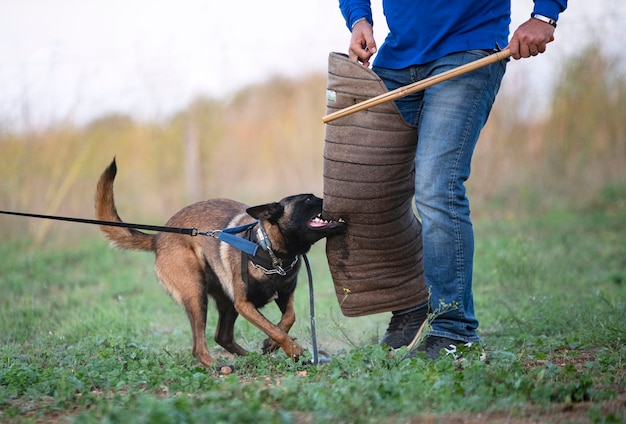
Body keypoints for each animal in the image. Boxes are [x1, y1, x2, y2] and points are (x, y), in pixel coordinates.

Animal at [96, 159, 346, 368]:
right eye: (309, 199)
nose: (335, 199)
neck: (270, 250)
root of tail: (158, 237)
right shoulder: (244, 304)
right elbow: (274, 328)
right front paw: (293, 349)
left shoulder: (284, 296)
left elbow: (287, 319)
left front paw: (272, 345)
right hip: (197, 294)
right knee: (199, 345)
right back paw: (217, 366)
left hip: (225, 301)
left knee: (222, 336)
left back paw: (251, 358)